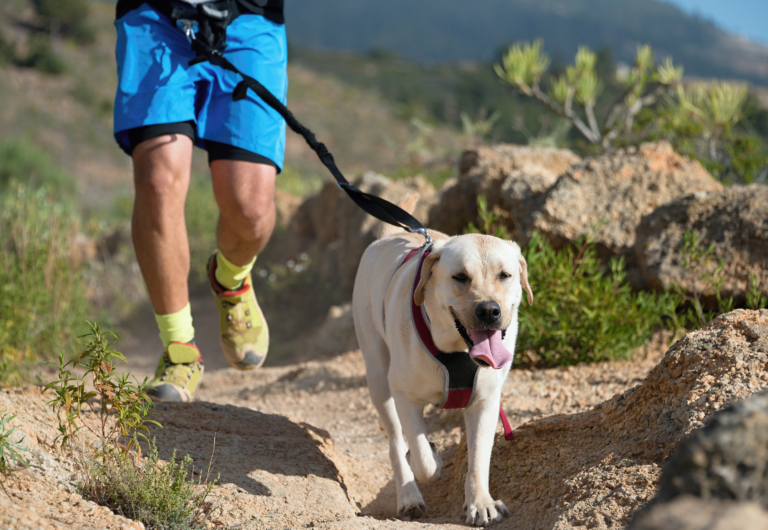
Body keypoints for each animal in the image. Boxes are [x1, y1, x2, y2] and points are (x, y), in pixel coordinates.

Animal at [352, 198, 532, 524]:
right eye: (460, 276)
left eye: (504, 275)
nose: (489, 311)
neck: (457, 351)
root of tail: (389, 236)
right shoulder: (405, 397)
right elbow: (423, 462)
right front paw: (431, 459)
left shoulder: (486, 401)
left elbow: (479, 458)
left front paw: (481, 504)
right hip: (378, 379)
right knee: (396, 443)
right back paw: (408, 496)